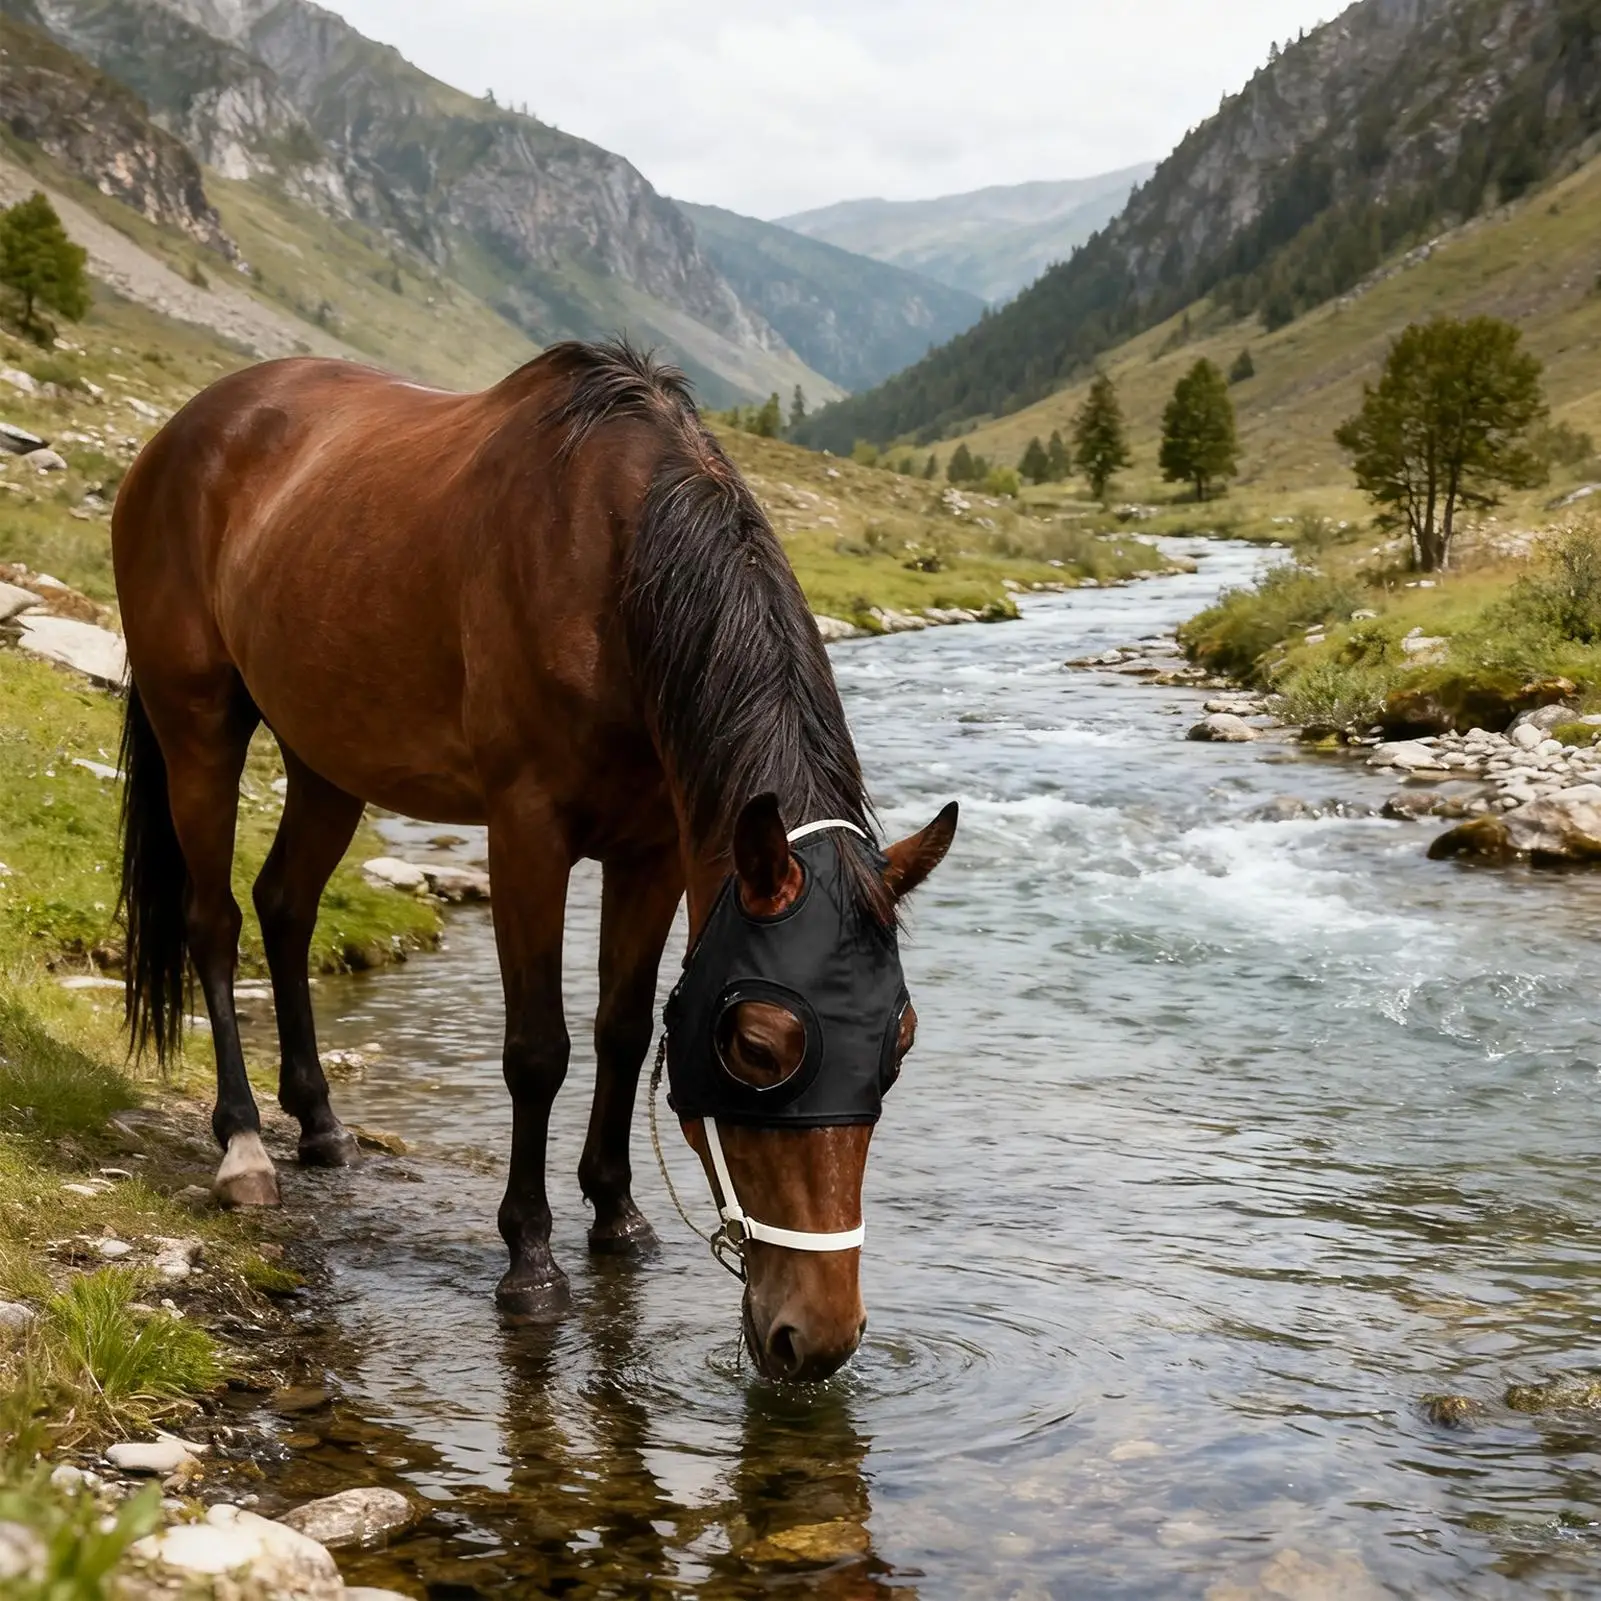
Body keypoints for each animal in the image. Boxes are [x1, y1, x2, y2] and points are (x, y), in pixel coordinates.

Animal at [111, 340, 957, 1381]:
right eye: (757, 1046)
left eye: (898, 1040)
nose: (820, 1338)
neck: (613, 562)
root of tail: (182, 432)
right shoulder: (525, 834)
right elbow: (537, 1050)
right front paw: (531, 1257)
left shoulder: (654, 853)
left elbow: (622, 1031)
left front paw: (618, 1214)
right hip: (198, 727)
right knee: (216, 922)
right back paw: (243, 1147)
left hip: (326, 759)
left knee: (285, 904)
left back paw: (318, 1123)